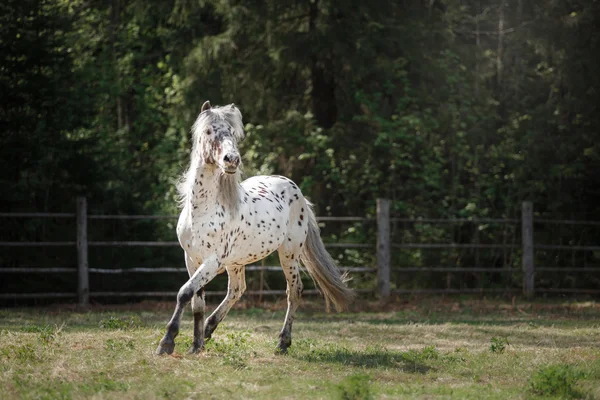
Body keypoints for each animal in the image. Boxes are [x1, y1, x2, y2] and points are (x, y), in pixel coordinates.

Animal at [156, 101, 356, 354]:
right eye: (210, 131)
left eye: (232, 133)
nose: (232, 160)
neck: (203, 210)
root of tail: (295, 190)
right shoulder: (192, 259)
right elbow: (196, 301)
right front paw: (196, 346)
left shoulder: (212, 261)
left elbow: (184, 293)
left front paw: (167, 342)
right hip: (236, 262)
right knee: (237, 289)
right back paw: (210, 328)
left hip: (289, 254)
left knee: (294, 291)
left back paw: (283, 343)